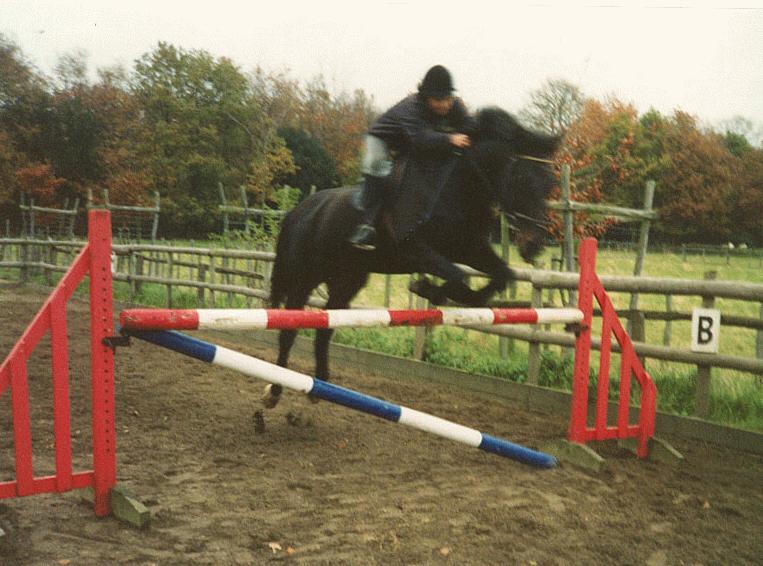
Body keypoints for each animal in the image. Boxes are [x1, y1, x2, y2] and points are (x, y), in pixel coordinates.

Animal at [264, 106, 560, 408]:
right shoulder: (414, 248)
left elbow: (501, 275)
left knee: (324, 329)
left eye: (551, 184)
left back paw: (319, 386)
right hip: (304, 278)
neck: (457, 186)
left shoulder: (468, 248)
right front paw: (427, 288)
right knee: (289, 330)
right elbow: (457, 274)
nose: (535, 246)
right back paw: (274, 392)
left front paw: (455, 295)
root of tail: (299, 211)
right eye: (523, 181)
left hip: (347, 280)